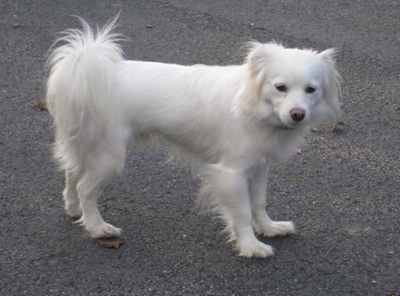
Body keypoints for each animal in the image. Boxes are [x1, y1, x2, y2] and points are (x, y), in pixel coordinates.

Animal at [46, 17, 340, 256]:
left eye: (311, 90)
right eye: (280, 88)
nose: (298, 114)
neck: (253, 103)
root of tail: (86, 63)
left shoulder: (258, 168)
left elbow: (258, 203)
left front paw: (269, 228)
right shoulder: (231, 174)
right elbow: (243, 212)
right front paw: (250, 246)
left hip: (85, 146)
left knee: (72, 174)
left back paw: (74, 209)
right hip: (109, 157)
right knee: (85, 187)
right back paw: (97, 227)